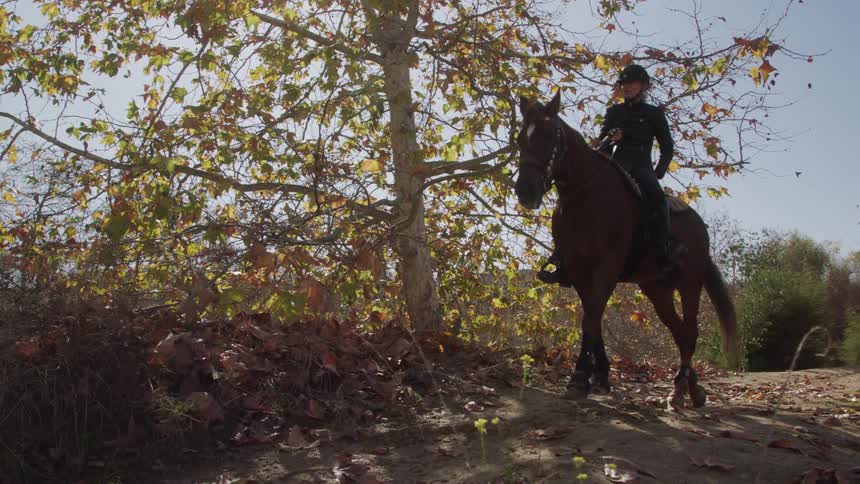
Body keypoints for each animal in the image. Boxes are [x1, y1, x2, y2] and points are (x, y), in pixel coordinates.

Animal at [513, 91, 738, 407]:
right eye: (521, 138)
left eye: (548, 136)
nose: (525, 191)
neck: (585, 195)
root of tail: (699, 225)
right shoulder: (579, 272)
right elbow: (593, 320)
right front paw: (600, 378)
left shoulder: (605, 270)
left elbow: (590, 320)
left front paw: (579, 379)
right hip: (658, 290)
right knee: (680, 333)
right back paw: (688, 386)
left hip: (690, 284)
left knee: (691, 331)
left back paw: (682, 388)